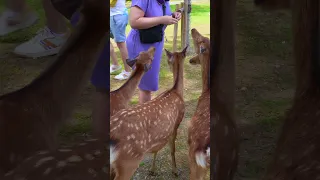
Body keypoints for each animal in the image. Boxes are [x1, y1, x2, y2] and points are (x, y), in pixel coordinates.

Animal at [110, 45, 189, 179]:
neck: (176, 92)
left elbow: (156, 150)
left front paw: (152, 170)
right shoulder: (176, 124)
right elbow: (172, 149)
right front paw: (175, 171)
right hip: (128, 160)